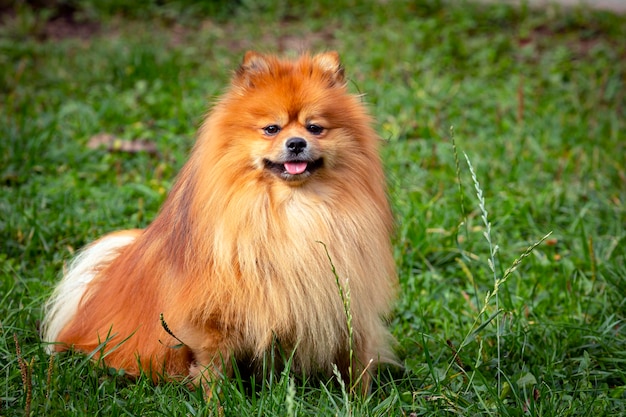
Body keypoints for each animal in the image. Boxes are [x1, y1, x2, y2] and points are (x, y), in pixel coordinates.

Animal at [42, 50, 394, 392]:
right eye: (272, 129)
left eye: (315, 128)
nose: (296, 143)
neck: (292, 208)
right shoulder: (212, 317)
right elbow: (214, 368)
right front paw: (218, 402)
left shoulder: (349, 303)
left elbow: (357, 362)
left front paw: (360, 399)